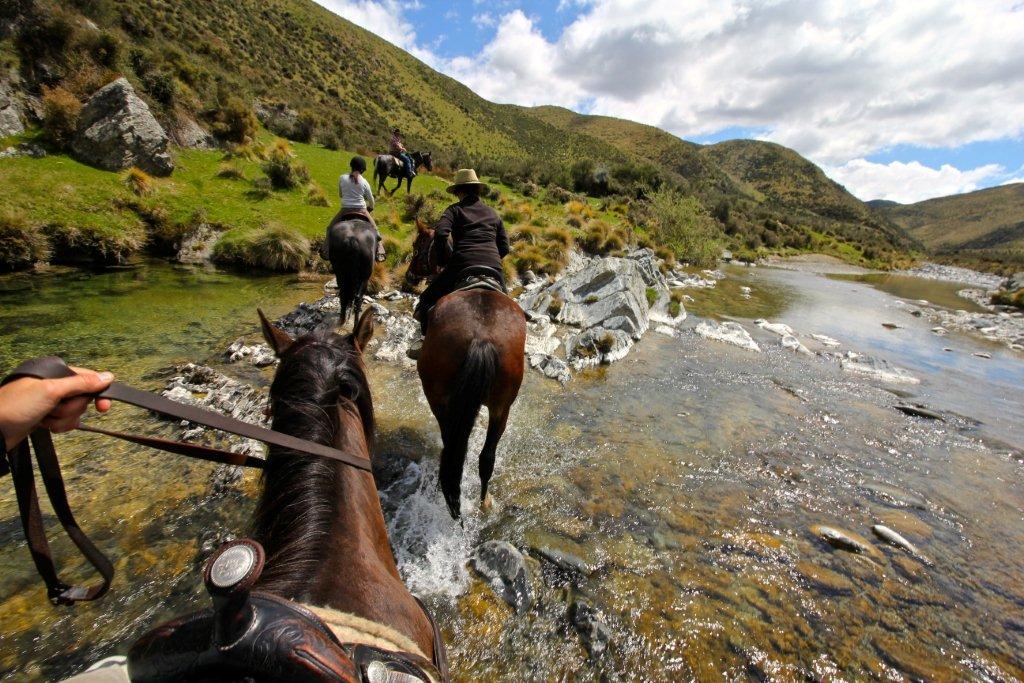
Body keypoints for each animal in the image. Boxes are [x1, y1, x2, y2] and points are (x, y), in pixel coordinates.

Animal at [407, 219, 526, 519]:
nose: (409, 277)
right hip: (502, 406)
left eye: (417, 246)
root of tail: (481, 337)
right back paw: (484, 503)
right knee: (486, 458)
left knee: (450, 443)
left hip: (438, 396)